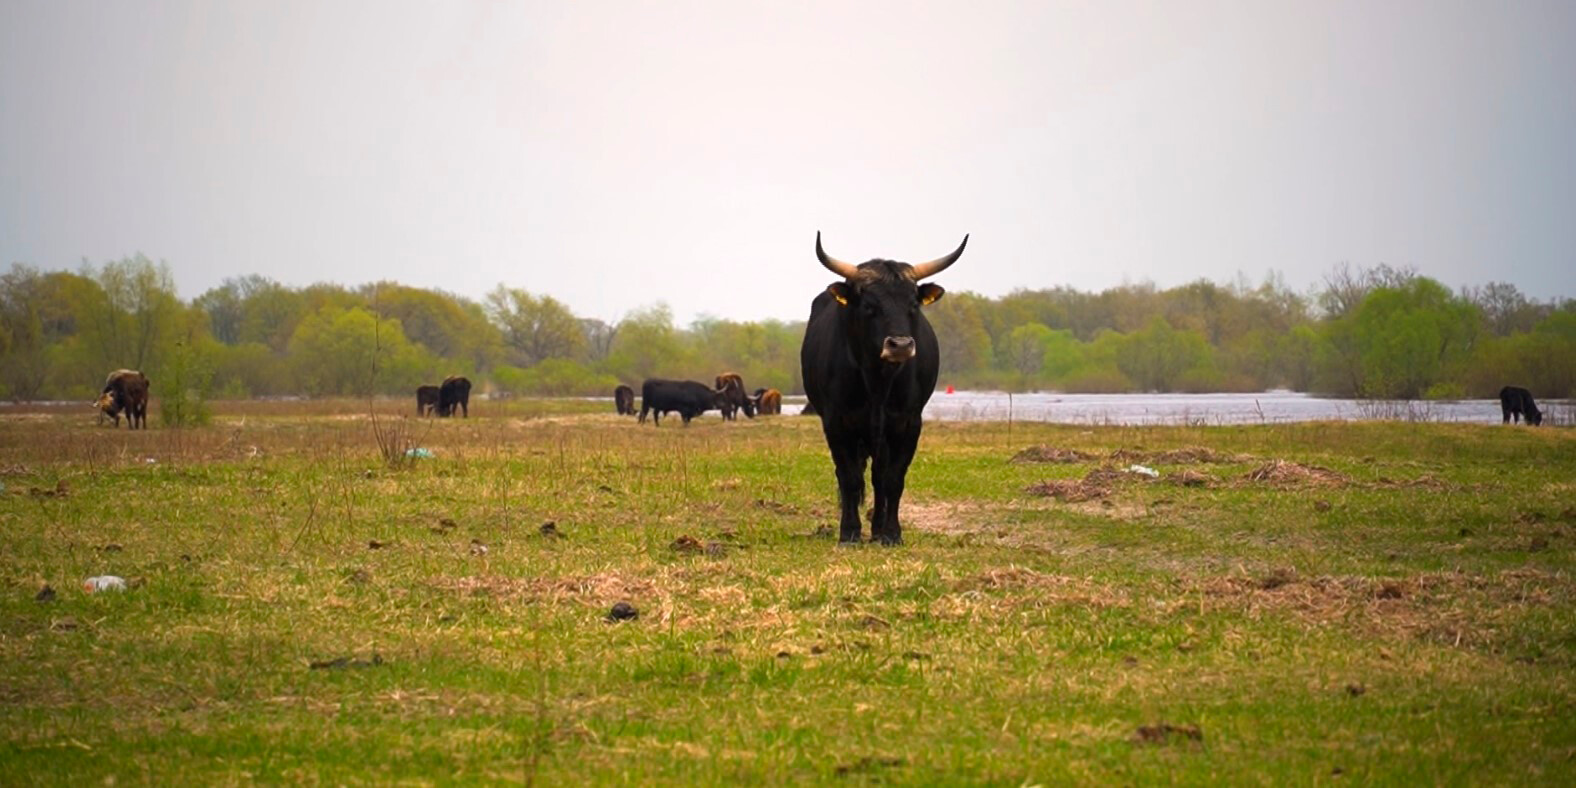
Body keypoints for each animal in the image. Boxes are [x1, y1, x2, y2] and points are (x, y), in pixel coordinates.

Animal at [794, 230, 964, 545]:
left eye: (913, 305)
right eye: (869, 306)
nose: (900, 345)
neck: (877, 383)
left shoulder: (908, 424)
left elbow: (893, 479)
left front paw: (891, 533)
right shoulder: (836, 423)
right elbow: (849, 477)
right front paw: (849, 532)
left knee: (879, 475)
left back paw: (877, 529)